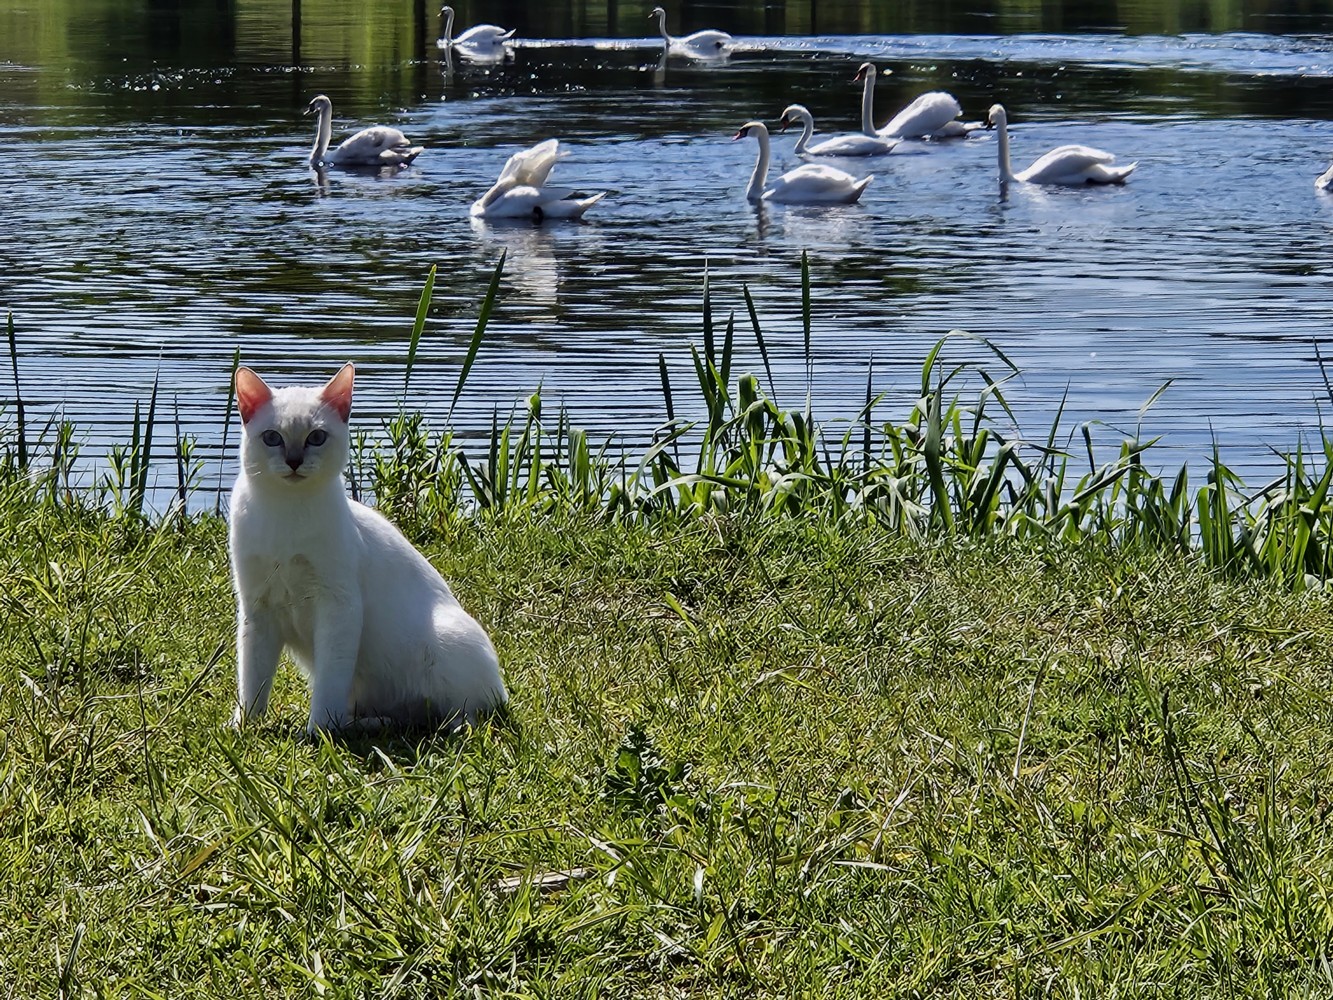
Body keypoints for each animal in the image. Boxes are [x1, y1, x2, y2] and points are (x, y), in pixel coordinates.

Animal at [227, 362, 507, 734]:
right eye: (272, 437)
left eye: (316, 437)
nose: (294, 461)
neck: (285, 511)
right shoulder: (257, 611)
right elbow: (252, 680)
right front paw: (244, 726)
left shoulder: (339, 606)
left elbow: (328, 683)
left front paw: (316, 732)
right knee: (404, 716)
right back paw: (372, 722)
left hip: (449, 645)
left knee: (460, 716)